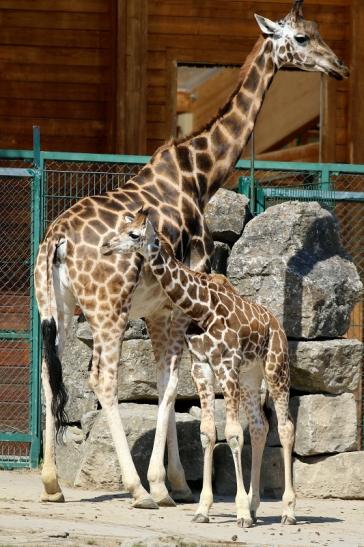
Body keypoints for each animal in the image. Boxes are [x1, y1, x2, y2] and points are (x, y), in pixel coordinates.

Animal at [101, 212, 294, 528]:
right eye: (121, 227)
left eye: (133, 234)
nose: (105, 246)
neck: (202, 309)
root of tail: (276, 324)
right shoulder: (202, 366)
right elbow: (207, 433)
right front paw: (204, 509)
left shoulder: (226, 365)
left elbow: (232, 434)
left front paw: (240, 513)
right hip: (251, 375)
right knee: (259, 427)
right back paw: (256, 507)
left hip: (276, 367)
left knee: (286, 428)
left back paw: (288, 511)